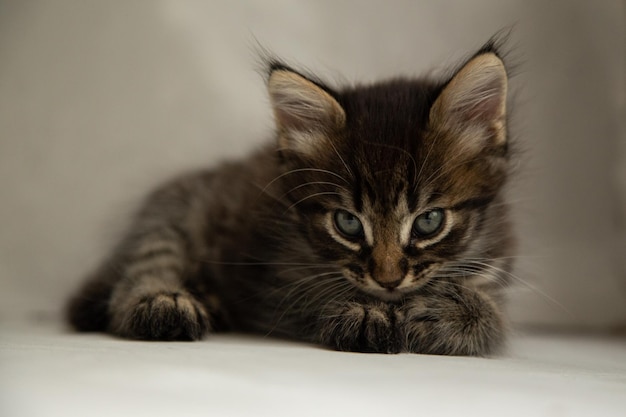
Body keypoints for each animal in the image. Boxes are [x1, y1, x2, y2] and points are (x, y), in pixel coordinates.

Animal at [67, 38, 512, 354]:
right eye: (348, 223)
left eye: (429, 221)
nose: (387, 281)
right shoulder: (278, 279)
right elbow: (315, 294)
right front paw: (365, 312)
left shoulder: (495, 264)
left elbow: (493, 314)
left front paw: (451, 310)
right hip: (171, 213)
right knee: (145, 266)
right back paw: (163, 304)